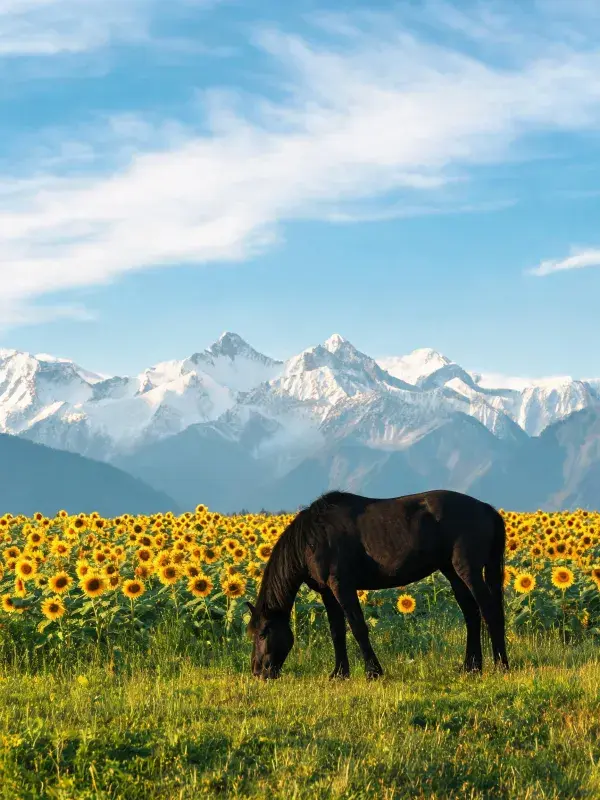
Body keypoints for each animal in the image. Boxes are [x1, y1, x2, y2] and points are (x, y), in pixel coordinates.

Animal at [246, 489, 509, 679]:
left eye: (263, 632)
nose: (258, 672)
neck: (313, 537)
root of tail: (487, 509)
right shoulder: (327, 592)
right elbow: (336, 631)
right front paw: (339, 674)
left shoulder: (342, 586)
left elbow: (358, 627)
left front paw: (373, 672)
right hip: (452, 573)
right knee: (471, 615)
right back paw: (471, 667)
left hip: (469, 571)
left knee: (489, 612)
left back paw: (500, 666)